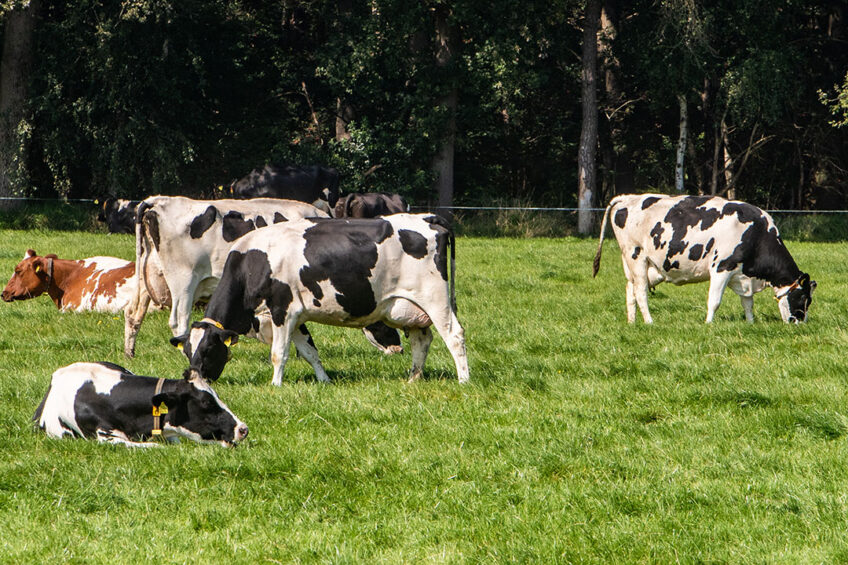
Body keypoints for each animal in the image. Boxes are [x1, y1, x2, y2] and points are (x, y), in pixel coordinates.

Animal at [168, 214, 468, 386]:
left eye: (208, 349)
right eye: (188, 351)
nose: (193, 378)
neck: (251, 263)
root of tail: (429, 220)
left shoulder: (283, 310)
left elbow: (279, 353)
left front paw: (275, 386)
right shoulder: (297, 316)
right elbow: (310, 351)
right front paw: (324, 380)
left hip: (435, 299)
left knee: (454, 336)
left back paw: (463, 380)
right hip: (409, 308)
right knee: (422, 340)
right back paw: (414, 378)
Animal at [588, 194, 816, 324]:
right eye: (804, 298)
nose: (799, 324)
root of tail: (627, 198)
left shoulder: (742, 275)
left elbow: (748, 303)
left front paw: (751, 323)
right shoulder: (722, 267)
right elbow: (714, 301)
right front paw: (708, 324)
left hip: (647, 267)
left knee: (630, 289)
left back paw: (632, 322)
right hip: (636, 256)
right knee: (641, 292)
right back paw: (649, 322)